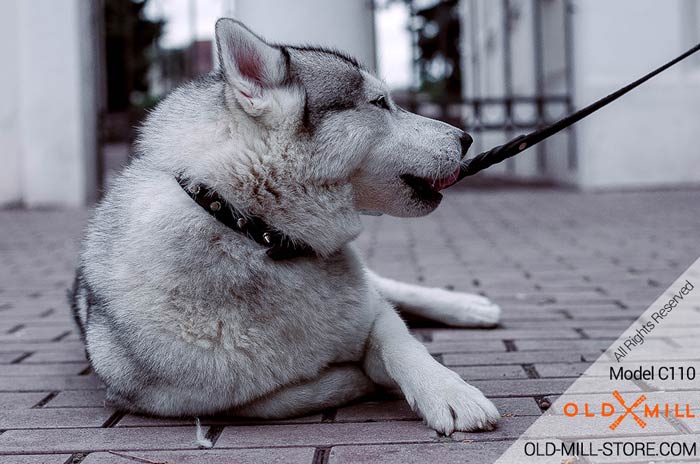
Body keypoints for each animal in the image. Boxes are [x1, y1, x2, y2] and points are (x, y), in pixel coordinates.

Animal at [71, 19, 500, 436]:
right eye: (380, 103)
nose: (466, 138)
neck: (253, 231)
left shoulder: (373, 312)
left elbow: (402, 342)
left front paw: (447, 392)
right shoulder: (177, 400)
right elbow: (284, 396)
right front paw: (358, 375)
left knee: (391, 289)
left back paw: (469, 307)